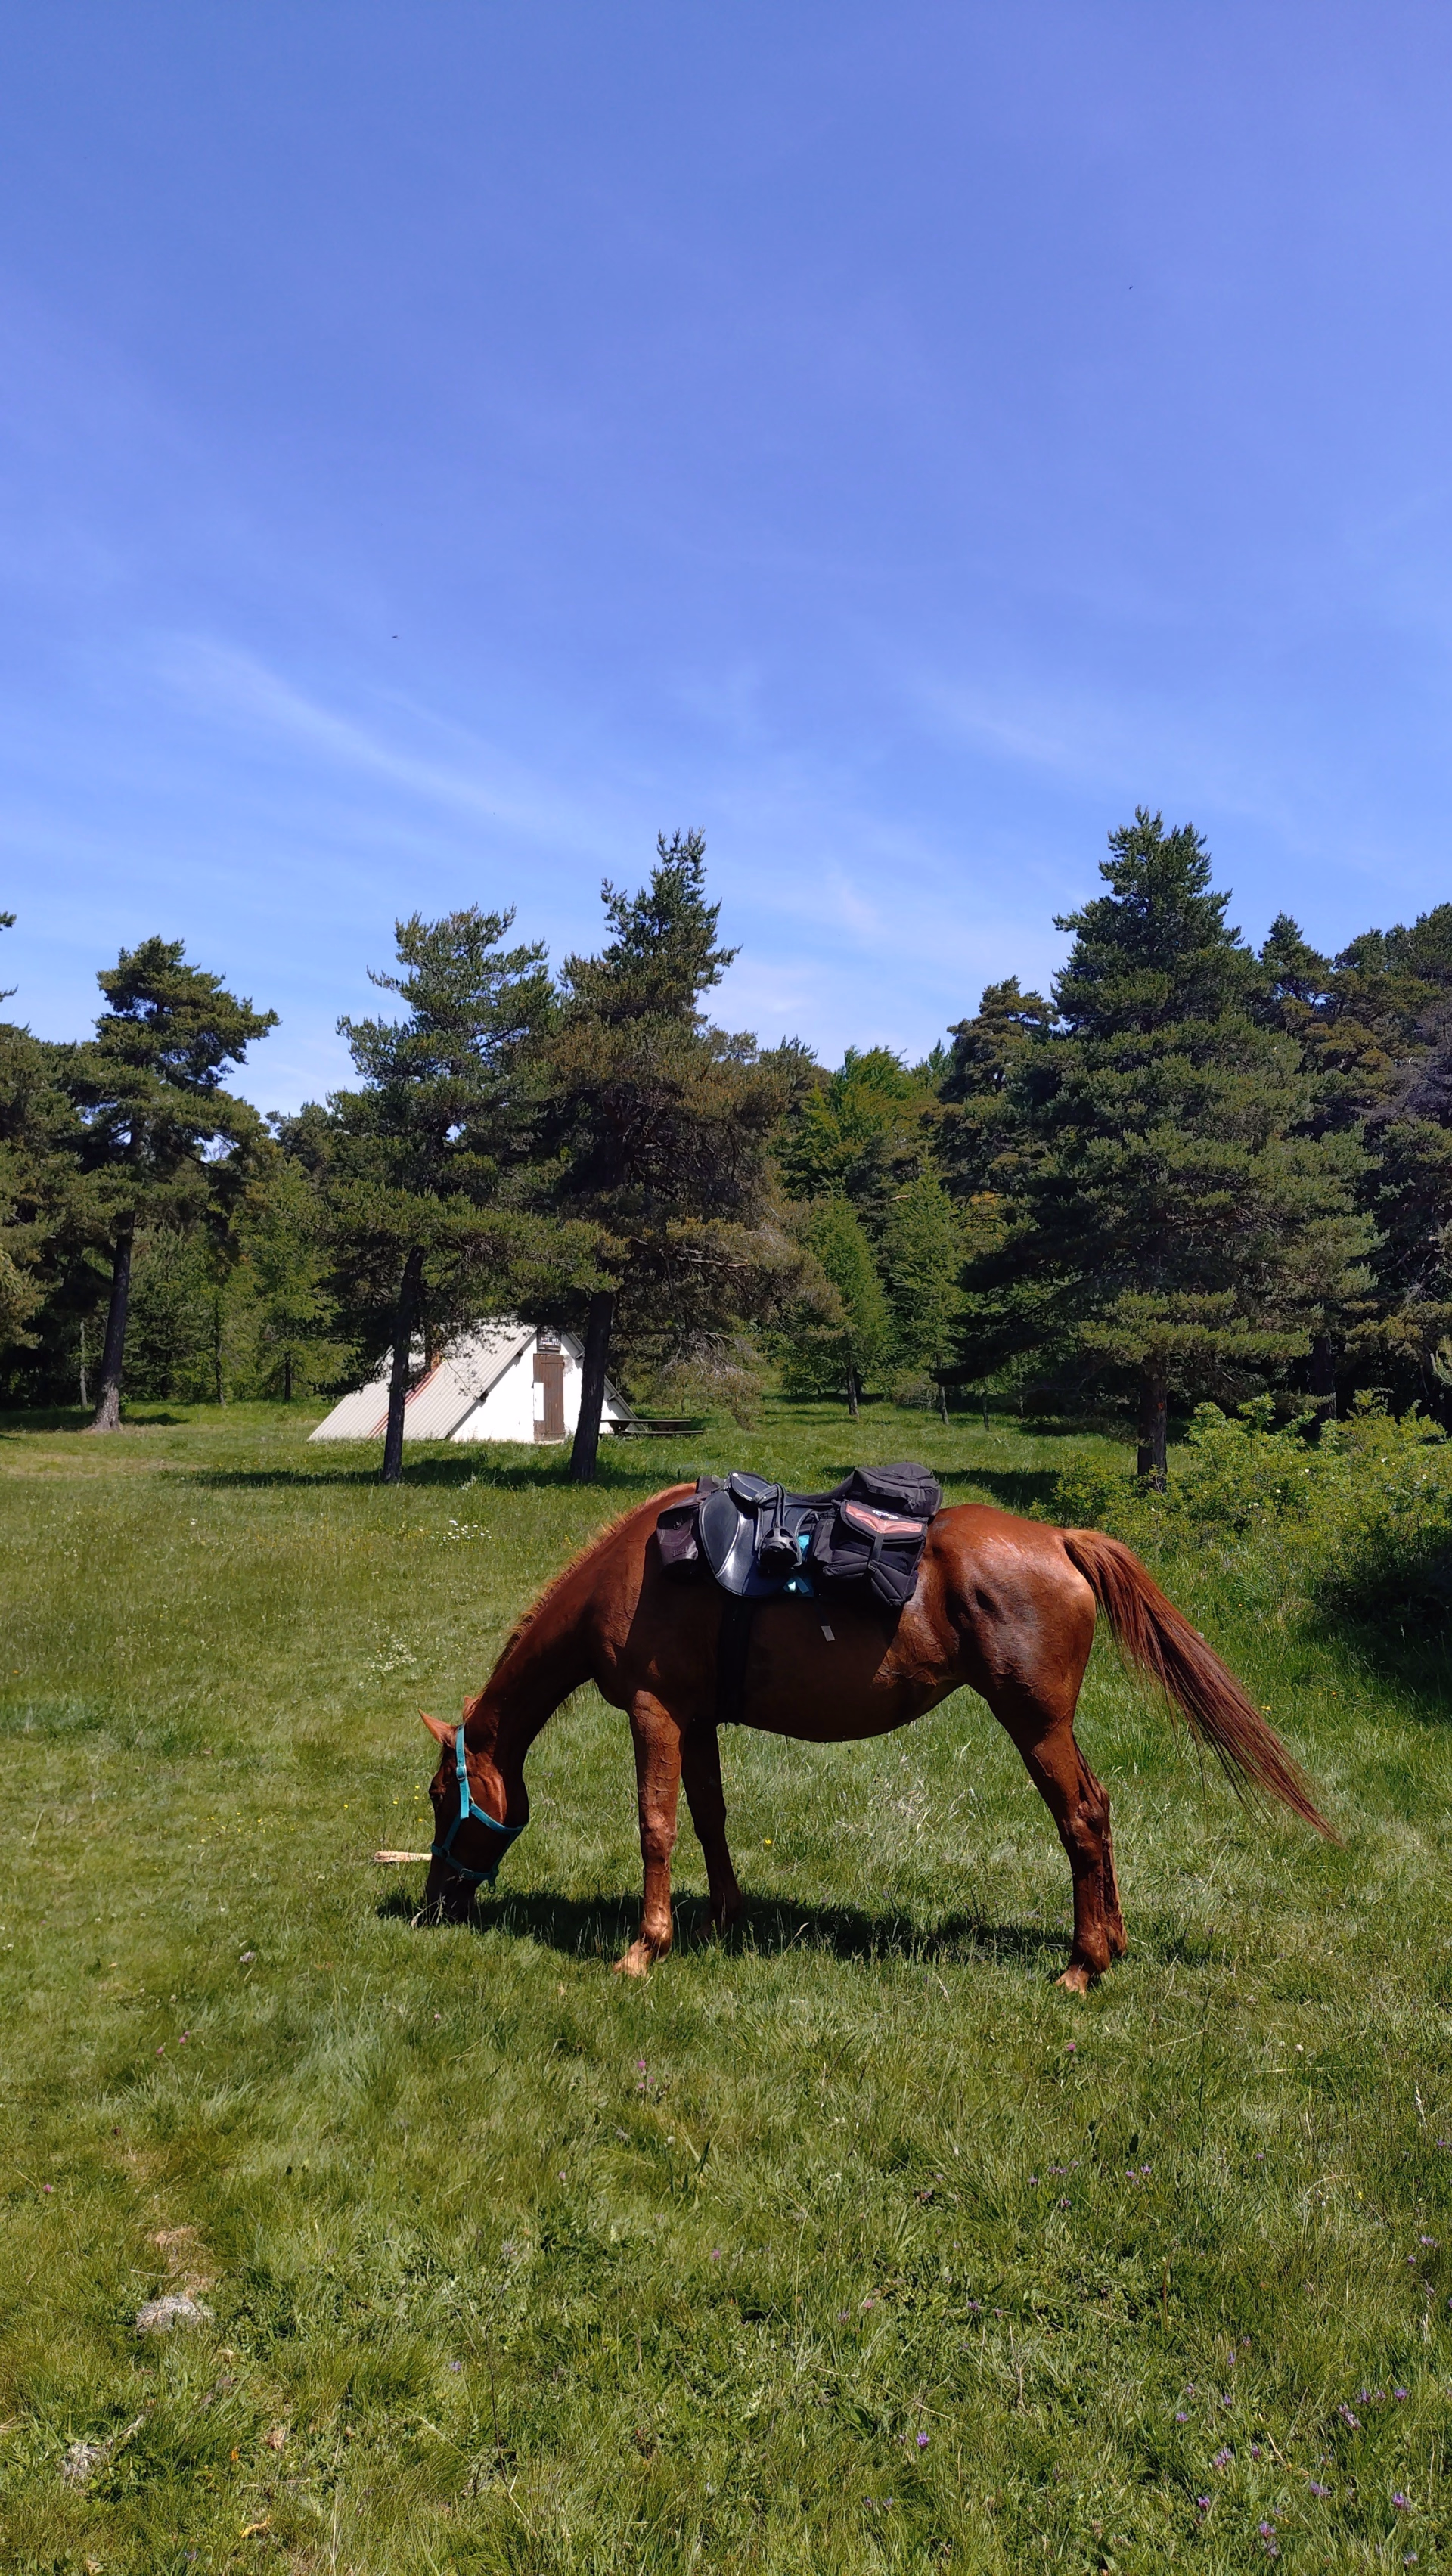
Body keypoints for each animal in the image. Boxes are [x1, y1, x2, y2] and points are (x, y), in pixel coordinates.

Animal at [414, 1484, 1332, 1991]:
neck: (637, 1571)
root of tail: (1062, 1540)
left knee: (1081, 1819)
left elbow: (656, 1827)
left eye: (438, 1797)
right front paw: (721, 1920)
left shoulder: (655, 1714)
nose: (433, 1904)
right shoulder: (697, 1719)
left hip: (1036, 1725)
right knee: (1098, 1815)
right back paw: (1110, 1944)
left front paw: (645, 1948)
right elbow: (710, 1819)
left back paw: (1082, 1965)